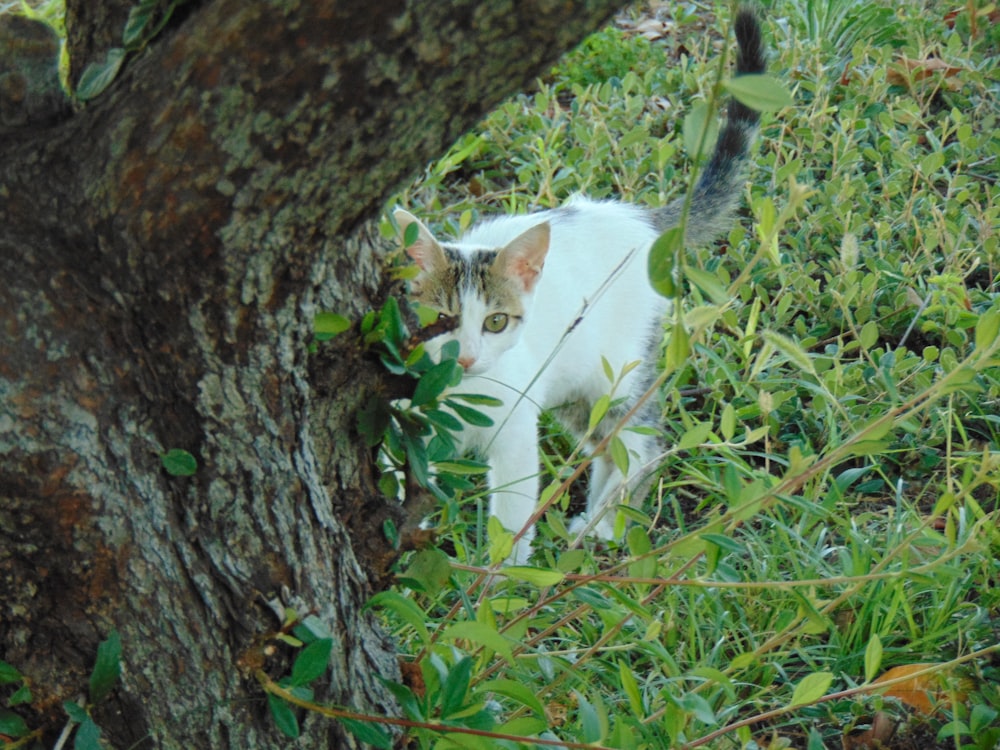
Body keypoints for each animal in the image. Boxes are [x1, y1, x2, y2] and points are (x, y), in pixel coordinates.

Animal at [394, 10, 760, 564]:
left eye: (495, 321)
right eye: (442, 320)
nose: (468, 357)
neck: (458, 390)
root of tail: (638, 219)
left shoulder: (514, 432)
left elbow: (511, 516)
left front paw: (501, 580)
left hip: (619, 369)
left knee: (640, 441)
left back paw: (606, 525)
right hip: (573, 386)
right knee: (604, 441)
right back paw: (596, 518)